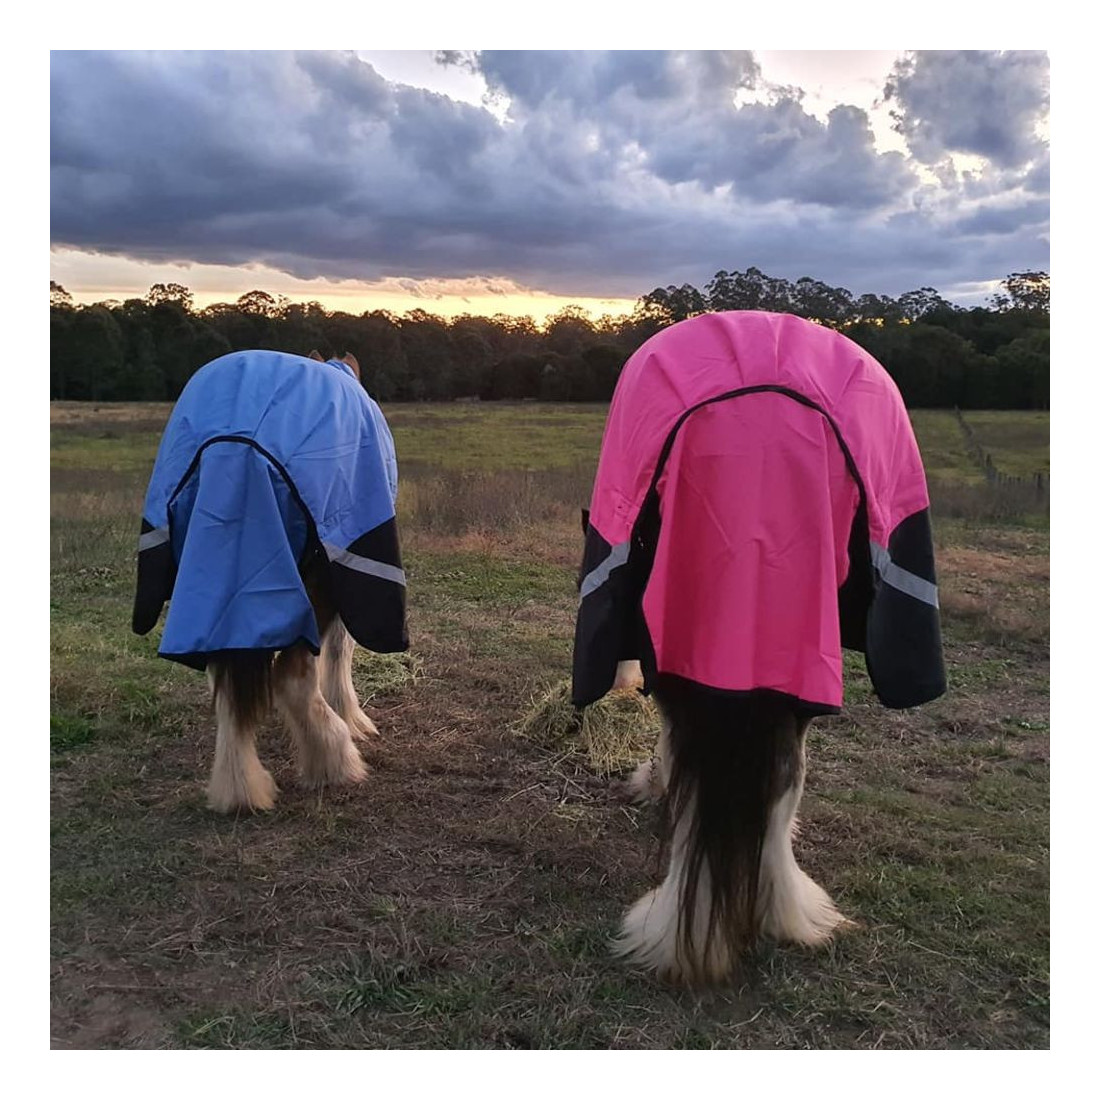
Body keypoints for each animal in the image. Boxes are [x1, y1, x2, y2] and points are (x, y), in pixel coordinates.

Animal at [132, 349, 408, 813]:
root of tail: (236, 443)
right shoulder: (346, 568)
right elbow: (340, 648)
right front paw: (353, 720)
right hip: (314, 575)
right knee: (293, 677)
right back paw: (335, 761)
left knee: (225, 682)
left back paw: (240, 789)